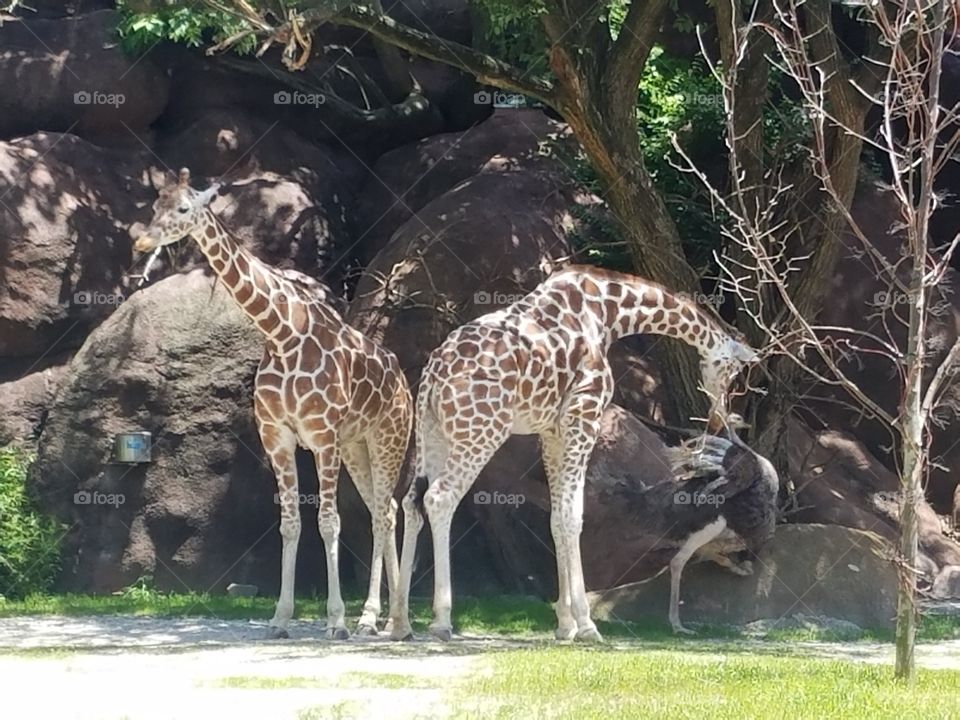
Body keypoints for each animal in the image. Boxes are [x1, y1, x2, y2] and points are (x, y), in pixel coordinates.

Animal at [132, 168, 412, 639]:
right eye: (154, 206)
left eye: (183, 208)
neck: (280, 334)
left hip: (387, 439)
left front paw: (335, 621)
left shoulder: (322, 437)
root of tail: (403, 380)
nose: (141, 241)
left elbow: (328, 522)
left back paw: (385, 619)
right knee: (385, 508)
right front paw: (281, 618)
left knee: (383, 514)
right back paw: (384, 620)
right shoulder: (277, 437)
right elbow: (290, 524)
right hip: (356, 447)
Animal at [390, 265, 758, 642]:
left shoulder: (552, 432)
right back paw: (441, 620)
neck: (610, 312)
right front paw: (586, 624)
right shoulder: (584, 417)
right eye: (732, 372)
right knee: (439, 498)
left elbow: (556, 518)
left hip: (431, 432)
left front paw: (565, 625)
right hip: (479, 430)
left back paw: (399, 622)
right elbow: (573, 517)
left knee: (411, 502)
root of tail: (434, 373)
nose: (721, 419)